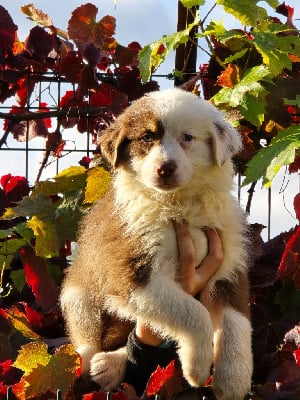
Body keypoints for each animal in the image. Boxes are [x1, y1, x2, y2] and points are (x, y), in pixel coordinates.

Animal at [61, 88, 253, 400]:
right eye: (147, 138)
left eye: (187, 137)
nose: (166, 168)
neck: (181, 204)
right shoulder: (133, 273)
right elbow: (193, 312)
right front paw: (197, 367)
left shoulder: (230, 261)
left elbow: (237, 320)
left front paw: (234, 380)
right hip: (78, 289)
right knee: (86, 337)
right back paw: (91, 364)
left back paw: (111, 365)